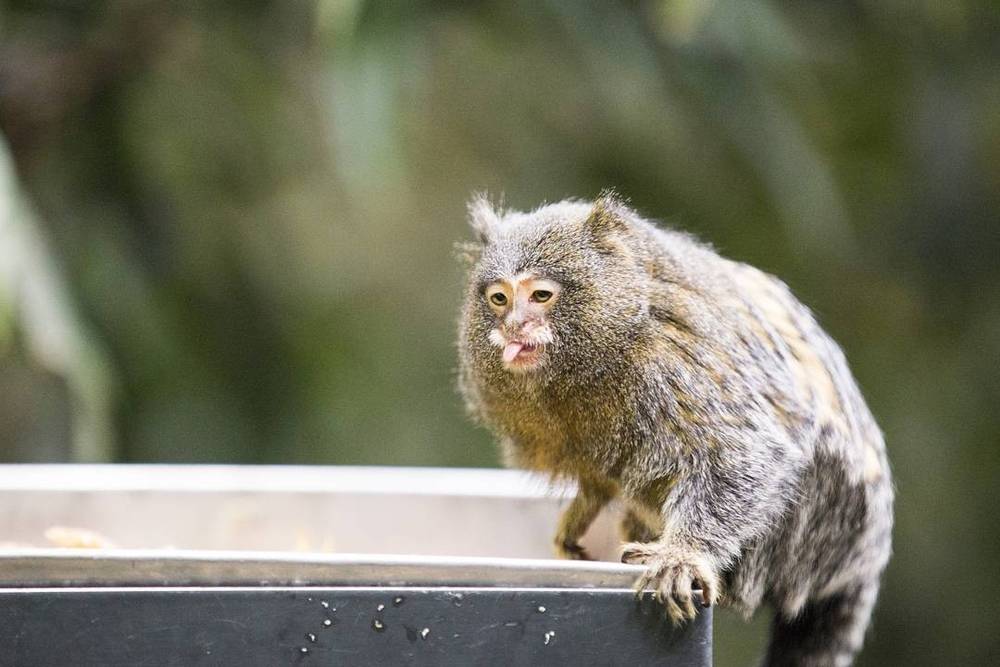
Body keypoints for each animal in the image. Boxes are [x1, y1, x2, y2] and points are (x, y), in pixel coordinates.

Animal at [457, 192, 893, 666]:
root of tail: (864, 558)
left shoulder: (670, 360)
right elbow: (597, 481)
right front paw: (579, 515)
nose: (513, 326)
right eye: (499, 298)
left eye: (540, 295)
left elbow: (744, 452)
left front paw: (682, 556)